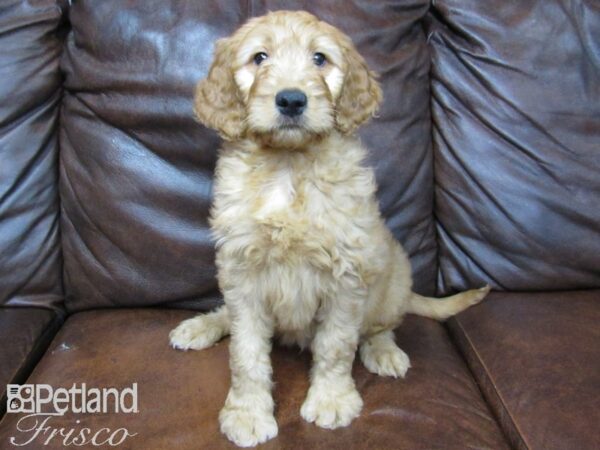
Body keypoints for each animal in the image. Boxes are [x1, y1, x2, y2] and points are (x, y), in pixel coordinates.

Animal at [171, 10, 490, 446]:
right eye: (259, 57)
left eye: (319, 59)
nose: (291, 99)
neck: (289, 166)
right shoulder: (242, 271)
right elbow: (245, 351)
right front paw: (247, 412)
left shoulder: (347, 275)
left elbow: (336, 346)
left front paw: (332, 400)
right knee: (229, 316)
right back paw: (202, 325)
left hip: (393, 278)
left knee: (380, 327)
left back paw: (384, 352)